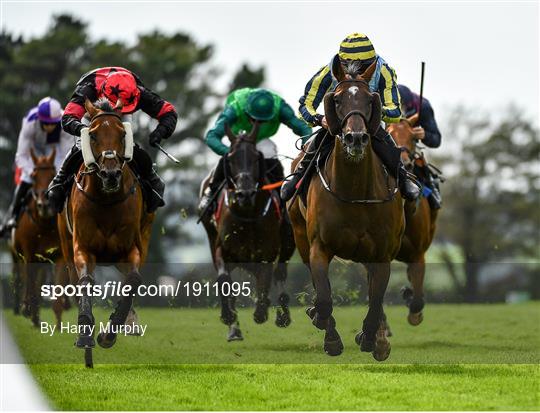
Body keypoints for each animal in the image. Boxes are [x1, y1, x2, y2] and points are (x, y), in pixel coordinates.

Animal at [10, 150, 69, 326]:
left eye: (52, 174)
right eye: (34, 176)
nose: (45, 205)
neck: (44, 224)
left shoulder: (58, 255)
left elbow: (58, 286)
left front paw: (58, 325)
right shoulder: (28, 254)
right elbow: (30, 283)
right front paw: (27, 309)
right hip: (18, 256)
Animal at [57, 97, 154, 366]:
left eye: (122, 134)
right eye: (93, 134)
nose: (110, 174)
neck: (106, 201)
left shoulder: (130, 249)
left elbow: (133, 281)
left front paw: (111, 332)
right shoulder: (82, 248)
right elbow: (85, 283)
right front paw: (85, 335)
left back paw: (130, 321)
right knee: (74, 283)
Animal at [199, 122, 296, 342]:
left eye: (255, 158)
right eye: (231, 159)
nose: (244, 194)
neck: (247, 214)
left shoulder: (266, 252)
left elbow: (265, 279)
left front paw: (261, 311)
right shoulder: (221, 248)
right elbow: (224, 281)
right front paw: (229, 318)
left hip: (287, 242)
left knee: (280, 273)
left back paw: (282, 315)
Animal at [288, 59, 402, 358]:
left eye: (370, 99)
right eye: (337, 99)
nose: (356, 138)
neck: (355, 192)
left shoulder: (382, 253)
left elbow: (375, 301)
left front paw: (371, 338)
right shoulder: (319, 247)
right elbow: (325, 298)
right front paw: (329, 335)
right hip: (300, 236)